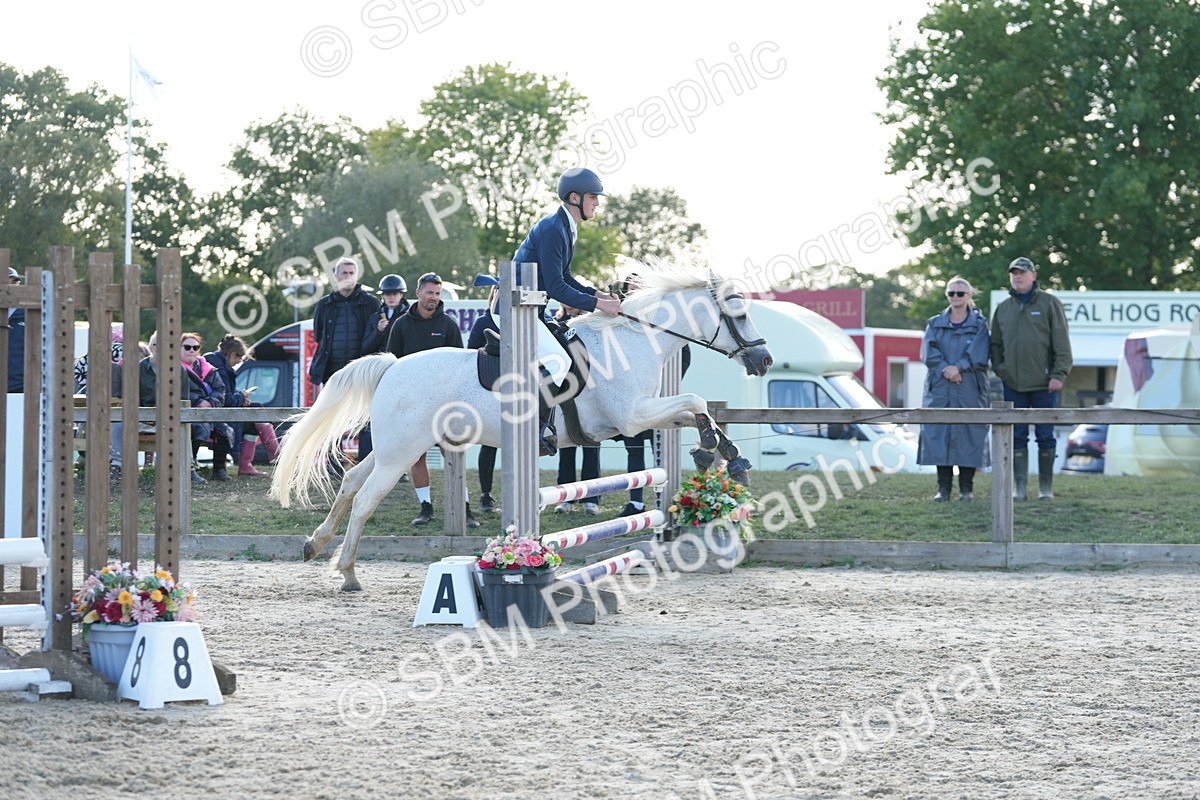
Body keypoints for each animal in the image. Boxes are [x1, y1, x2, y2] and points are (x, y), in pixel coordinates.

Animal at [269, 260, 774, 592]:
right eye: (738, 311)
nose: (765, 360)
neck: (634, 342)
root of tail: (392, 364)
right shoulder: (631, 417)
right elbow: (694, 400)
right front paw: (717, 450)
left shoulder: (647, 412)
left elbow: (696, 409)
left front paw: (721, 453)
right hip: (401, 451)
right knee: (366, 498)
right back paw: (348, 572)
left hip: (395, 445)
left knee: (352, 480)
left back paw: (317, 545)